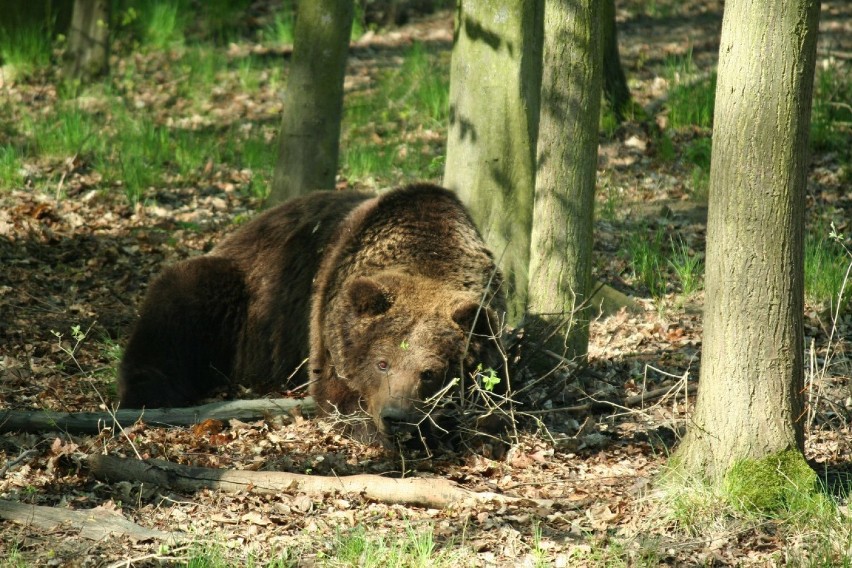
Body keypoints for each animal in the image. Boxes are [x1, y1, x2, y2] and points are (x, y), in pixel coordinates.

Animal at [118, 184, 506, 446]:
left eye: (430, 372)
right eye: (382, 363)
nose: (395, 416)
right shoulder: (327, 319)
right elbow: (334, 394)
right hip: (241, 294)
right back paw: (151, 393)